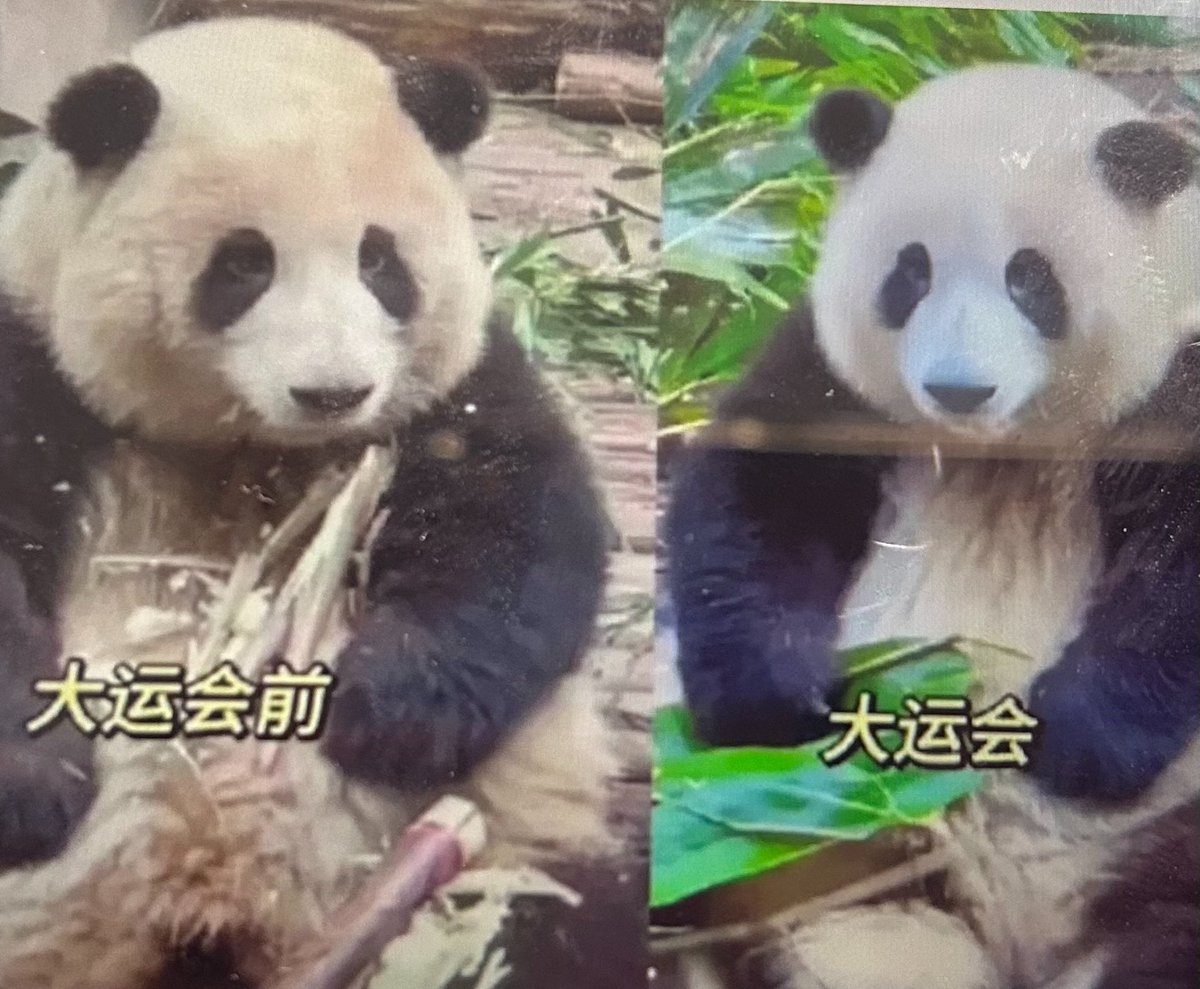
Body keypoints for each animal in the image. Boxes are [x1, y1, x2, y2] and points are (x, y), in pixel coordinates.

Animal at [0, 17, 625, 989]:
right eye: (243, 263)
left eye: (380, 259)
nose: (334, 392)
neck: (251, 445)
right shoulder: (33, 352)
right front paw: (38, 779)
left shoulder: (450, 389)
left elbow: (522, 531)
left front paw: (386, 710)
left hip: (517, 840)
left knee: (571, 917)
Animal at [666, 64, 1200, 989]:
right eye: (908, 273)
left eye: (1031, 279)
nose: (959, 389)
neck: (1004, 445)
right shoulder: (832, 383)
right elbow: (754, 504)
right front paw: (774, 696)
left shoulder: (1174, 378)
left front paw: (1082, 736)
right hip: (829, 856)